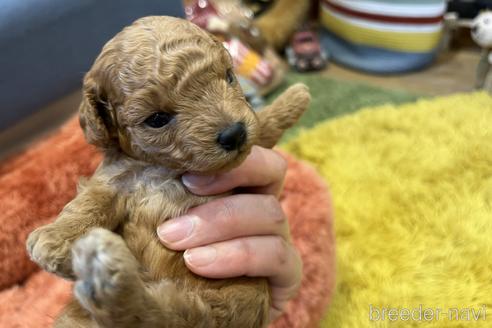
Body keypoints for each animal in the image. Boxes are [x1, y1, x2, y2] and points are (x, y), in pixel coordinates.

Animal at [26, 16, 308, 328]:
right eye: (158, 119)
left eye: (229, 77)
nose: (234, 134)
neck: (164, 169)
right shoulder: (114, 181)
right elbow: (90, 203)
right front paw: (53, 241)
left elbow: (265, 126)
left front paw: (295, 97)